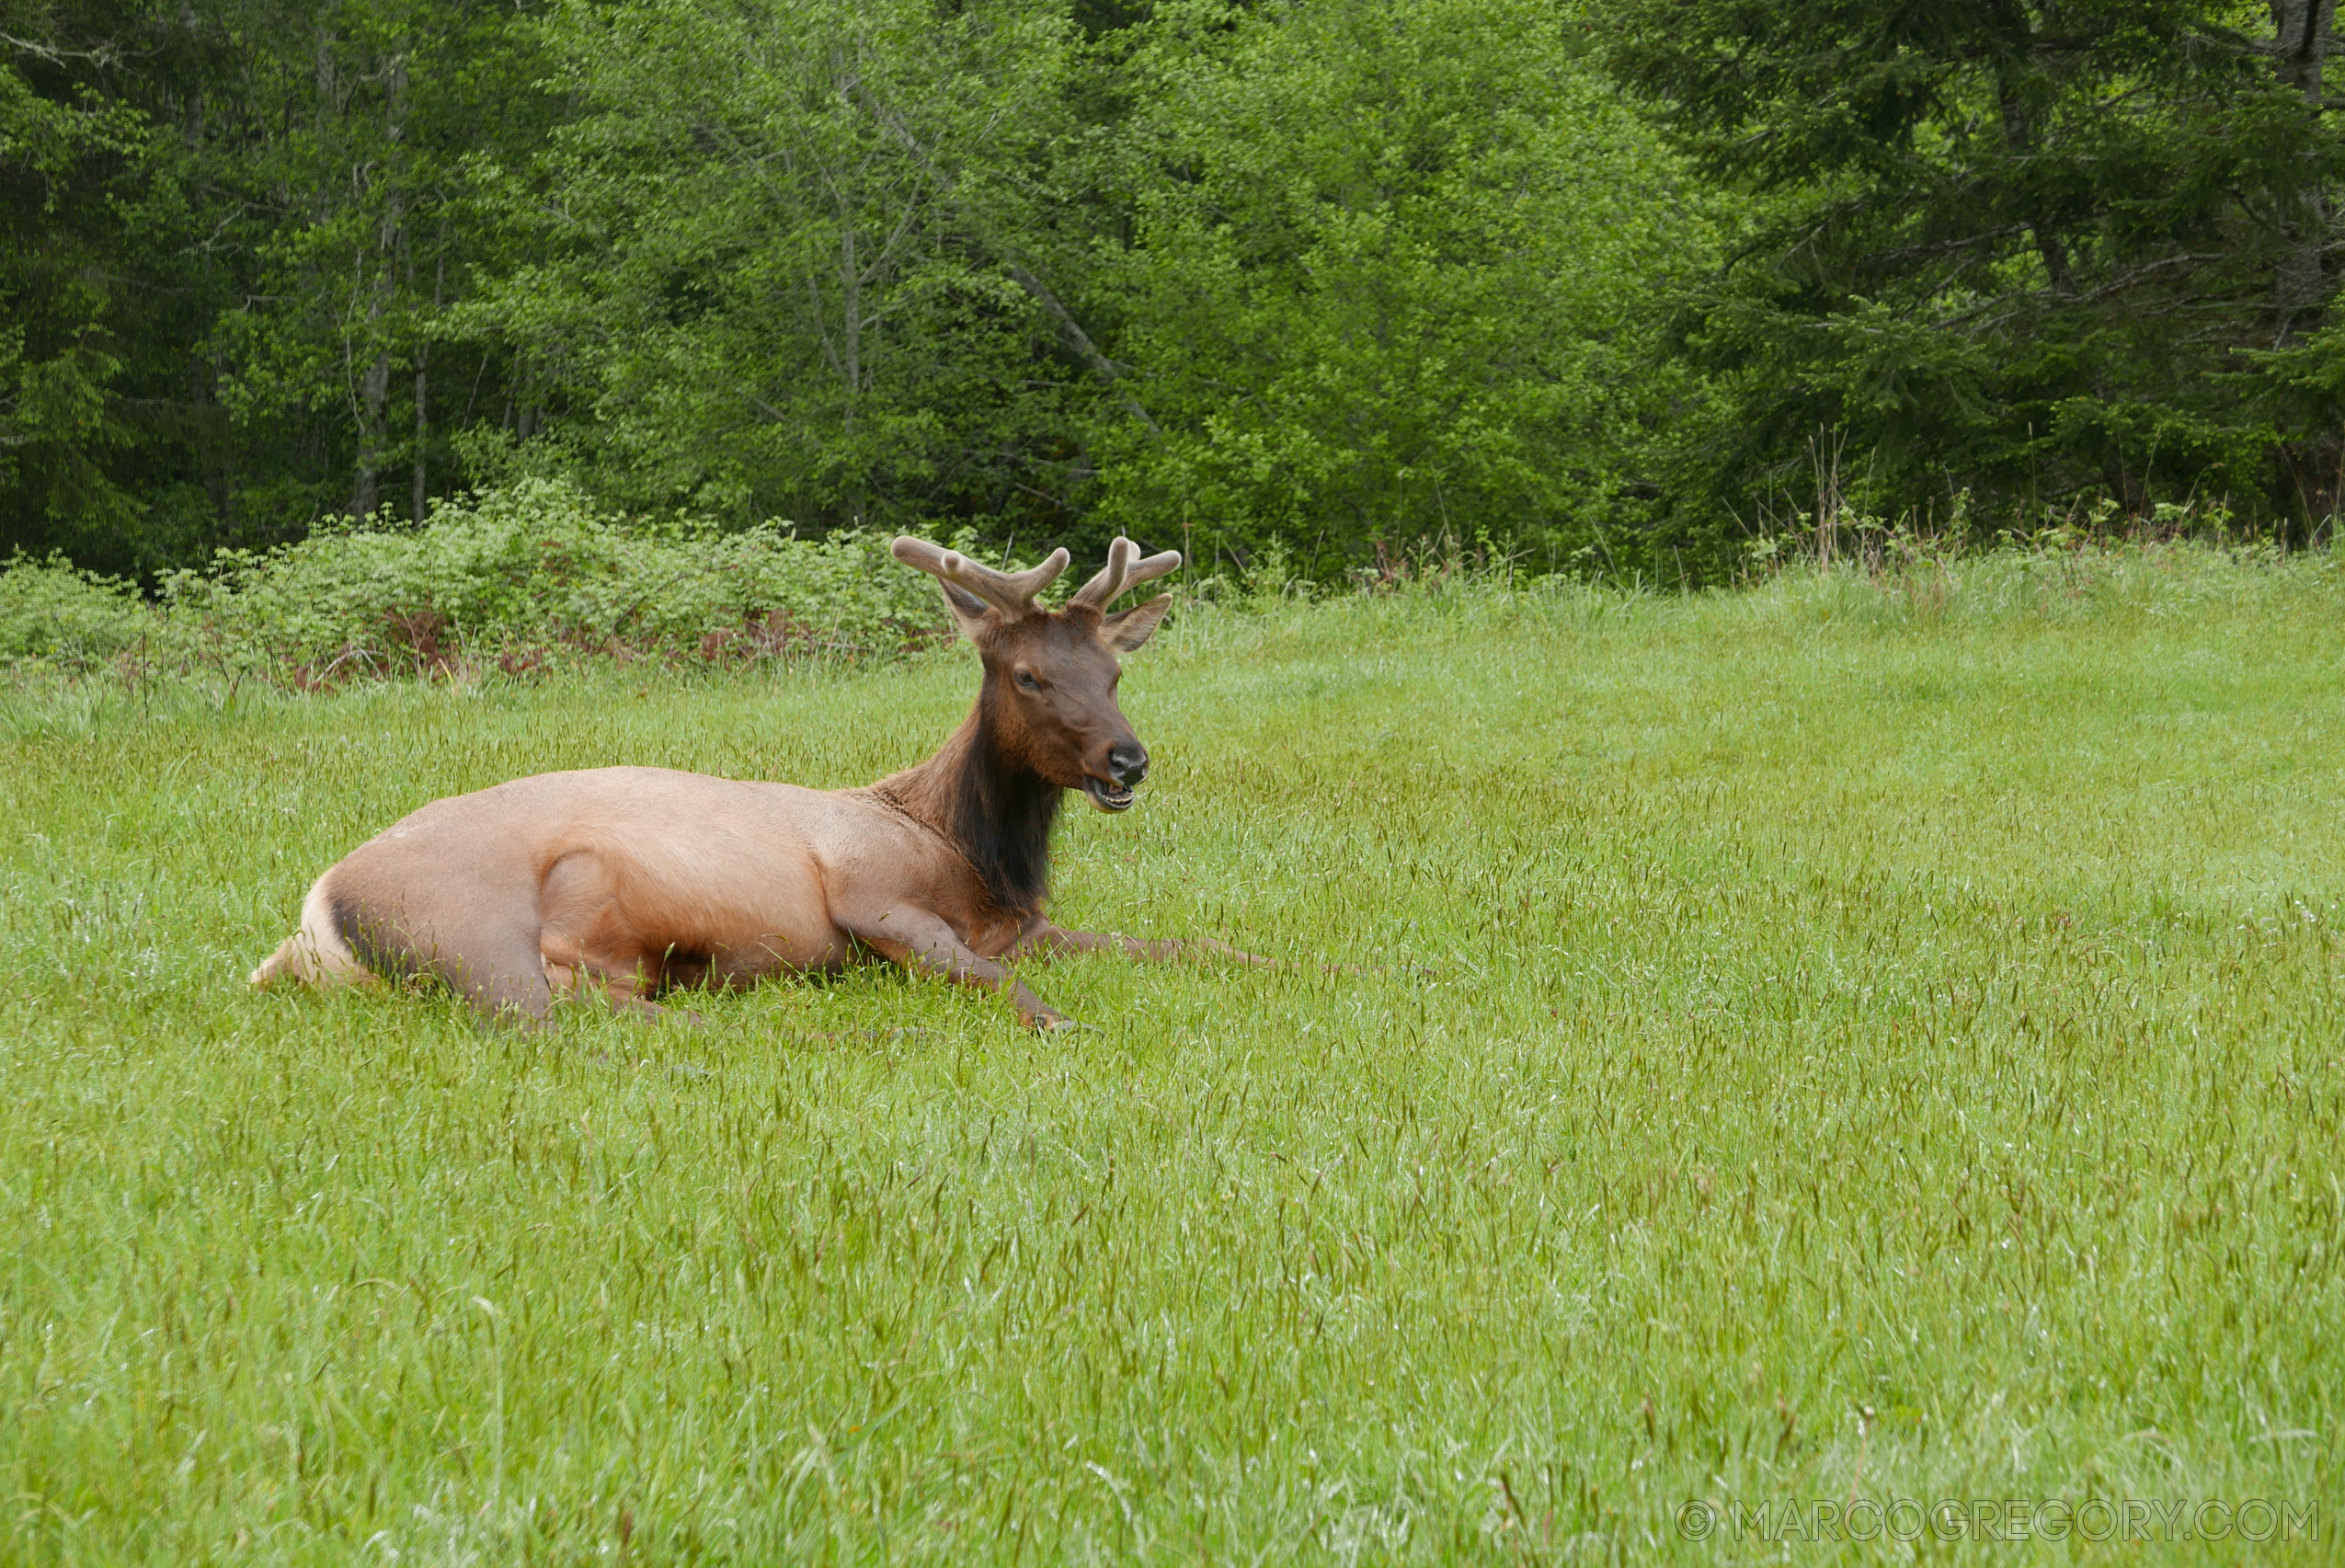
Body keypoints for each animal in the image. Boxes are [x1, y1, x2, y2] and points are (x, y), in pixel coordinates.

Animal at [247, 532, 1256, 1031]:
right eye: (1028, 675)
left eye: (1115, 671)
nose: (1127, 760)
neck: (966, 852)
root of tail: (310, 926)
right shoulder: (870, 891)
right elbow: (983, 975)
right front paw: (1064, 1023)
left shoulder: (1027, 926)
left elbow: (1190, 945)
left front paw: (1291, 962)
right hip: (471, 924)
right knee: (562, 1022)